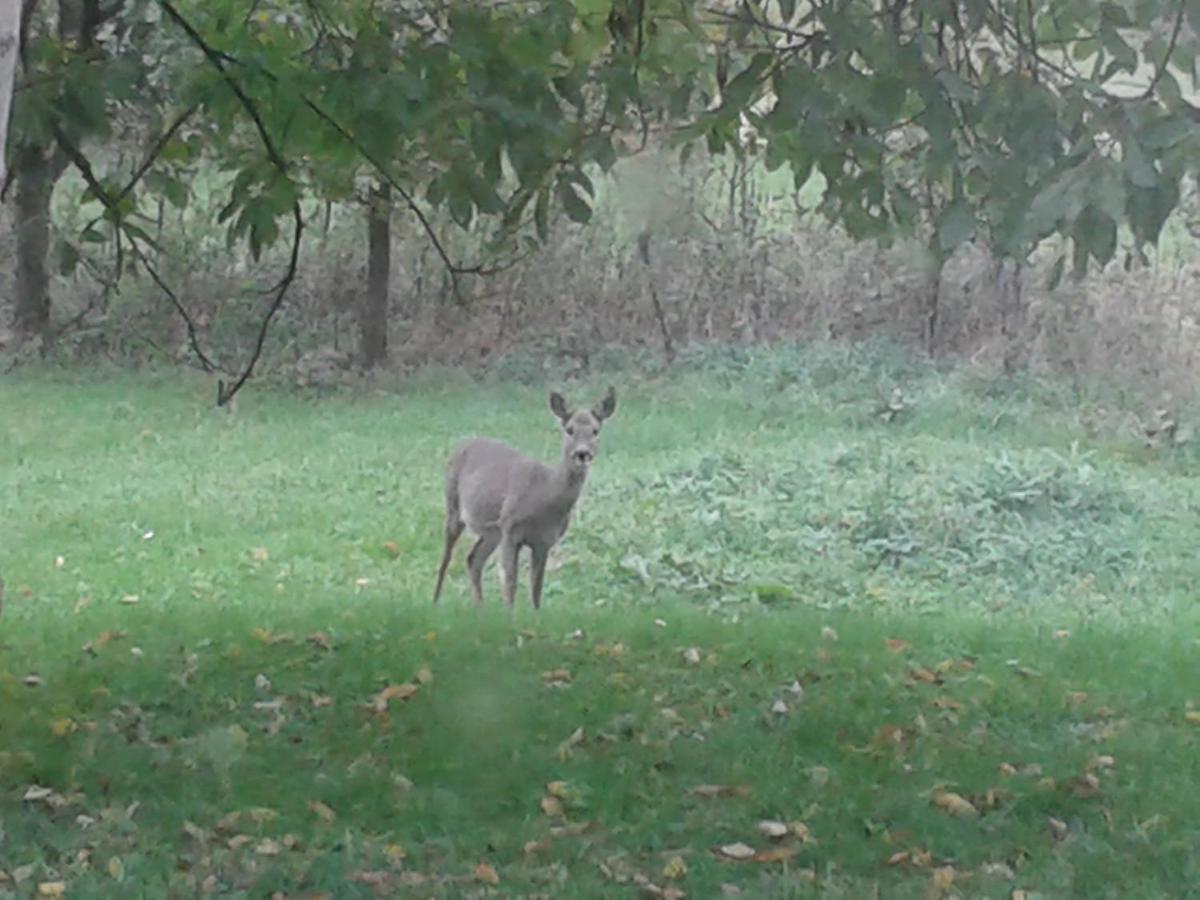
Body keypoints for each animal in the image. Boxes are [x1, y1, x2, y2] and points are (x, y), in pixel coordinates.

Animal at [434, 388, 619, 614]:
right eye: (569, 430)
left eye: (595, 431)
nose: (582, 453)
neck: (545, 495)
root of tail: (463, 443)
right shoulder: (511, 529)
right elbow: (510, 583)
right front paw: (509, 616)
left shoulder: (544, 541)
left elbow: (536, 587)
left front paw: (535, 616)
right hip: (454, 504)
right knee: (446, 557)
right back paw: (435, 602)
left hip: (492, 531)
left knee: (473, 559)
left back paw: (480, 608)